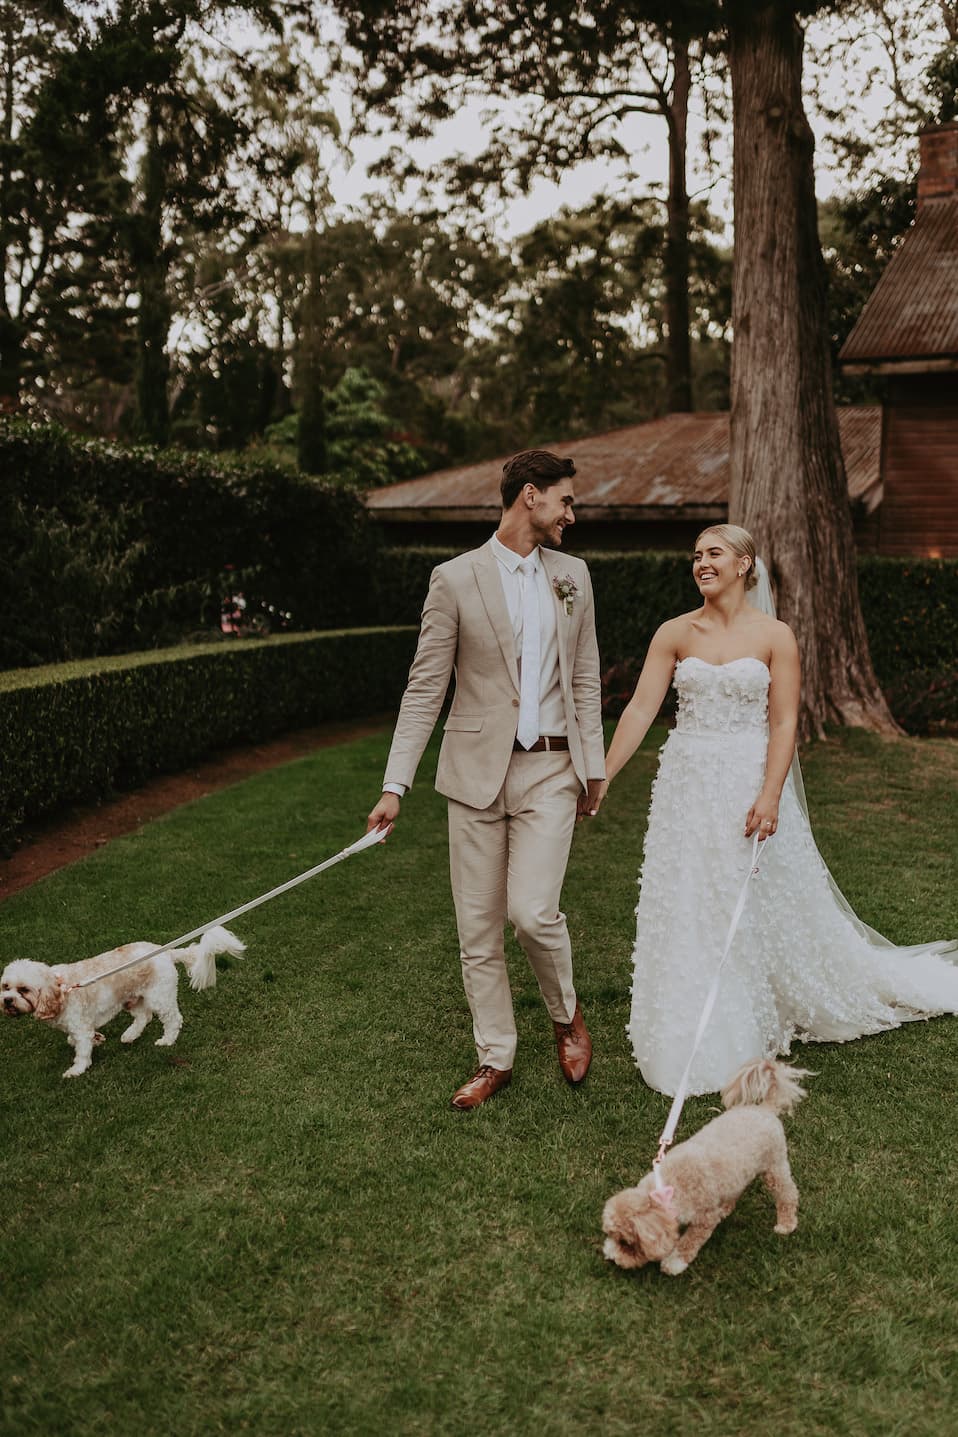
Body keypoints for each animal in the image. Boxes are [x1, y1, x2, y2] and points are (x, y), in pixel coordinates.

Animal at [2, 925, 247, 1074]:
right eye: (5, 987)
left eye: (23, 990)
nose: (7, 1001)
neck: (60, 989)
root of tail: (164, 952)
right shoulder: (78, 1027)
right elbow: (75, 1039)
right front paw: (98, 1038)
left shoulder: (80, 1026)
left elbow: (81, 1050)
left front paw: (76, 1071)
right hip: (133, 999)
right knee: (143, 1017)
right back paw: (129, 1035)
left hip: (159, 996)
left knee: (172, 1019)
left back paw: (166, 1040)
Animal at [603, 1063, 804, 1276]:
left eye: (626, 1243)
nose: (612, 1258)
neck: (669, 1186)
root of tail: (766, 1108)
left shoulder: (705, 1219)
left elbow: (689, 1242)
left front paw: (674, 1263)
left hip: (775, 1166)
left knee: (787, 1194)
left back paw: (786, 1224)